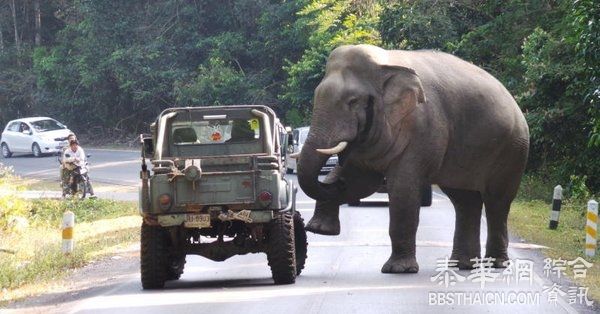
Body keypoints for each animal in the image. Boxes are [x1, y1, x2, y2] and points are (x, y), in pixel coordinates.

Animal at [296, 43, 528, 272]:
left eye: (352, 101)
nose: (336, 177)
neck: (385, 63)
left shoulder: (423, 129)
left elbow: (403, 189)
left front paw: (398, 269)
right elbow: (363, 182)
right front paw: (319, 229)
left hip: (512, 150)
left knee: (497, 201)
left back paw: (496, 263)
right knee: (465, 200)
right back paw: (462, 265)